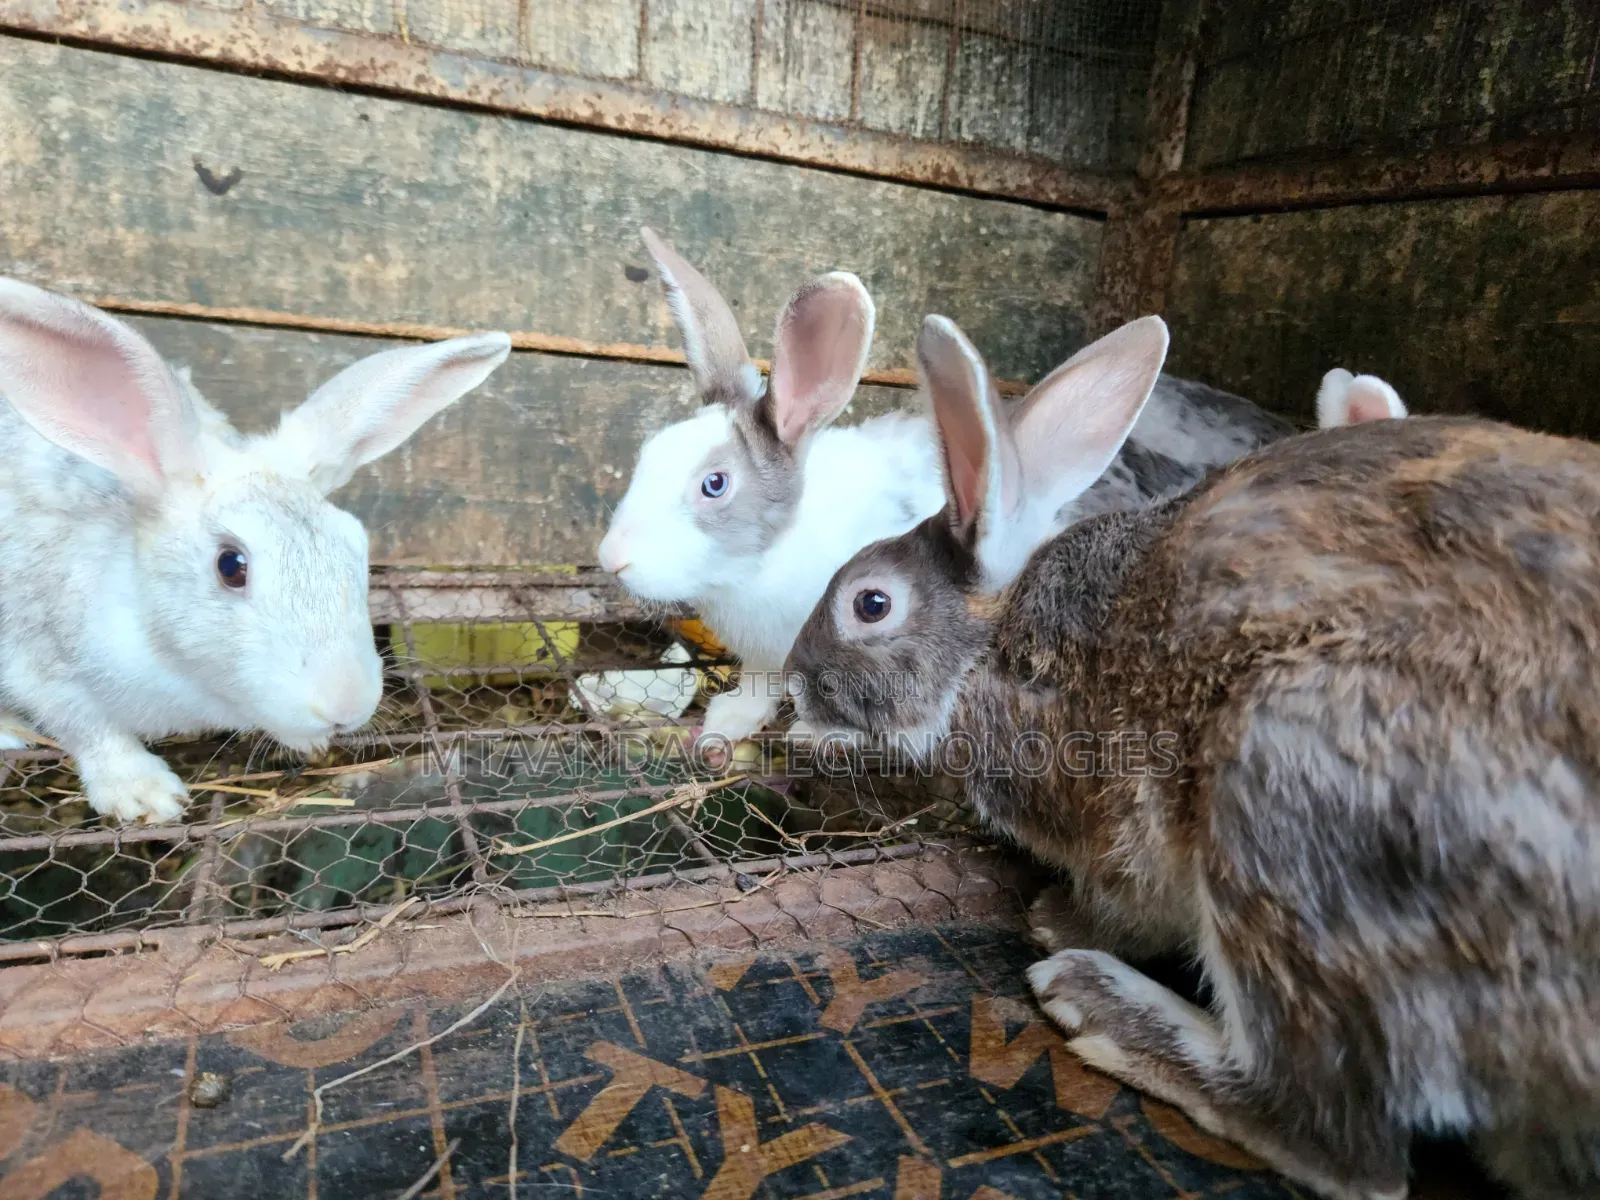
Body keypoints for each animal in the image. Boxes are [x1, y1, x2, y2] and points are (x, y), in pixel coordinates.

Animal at [0, 279, 512, 823]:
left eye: (358, 548)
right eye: (231, 565)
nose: (345, 707)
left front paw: (308, 745)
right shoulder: (41, 664)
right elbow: (91, 730)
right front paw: (146, 797)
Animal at [597, 228, 1305, 745]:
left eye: (714, 484)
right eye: (647, 452)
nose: (610, 558)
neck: (768, 560)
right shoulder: (768, 660)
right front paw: (728, 724)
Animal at [786, 313, 1600, 1200]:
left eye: (870, 604)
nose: (792, 681)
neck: (992, 647)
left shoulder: (1118, 811)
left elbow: (1128, 897)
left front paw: (1056, 919)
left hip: (1286, 782)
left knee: (1340, 1143)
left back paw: (1099, 1002)